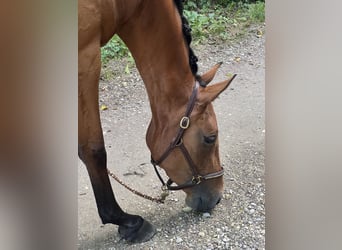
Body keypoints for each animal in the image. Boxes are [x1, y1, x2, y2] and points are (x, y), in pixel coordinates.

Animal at [79, 0, 236, 243]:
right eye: (210, 138)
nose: (217, 197)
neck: (118, 5)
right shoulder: (86, 60)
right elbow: (92, 150)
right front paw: (126, 221)